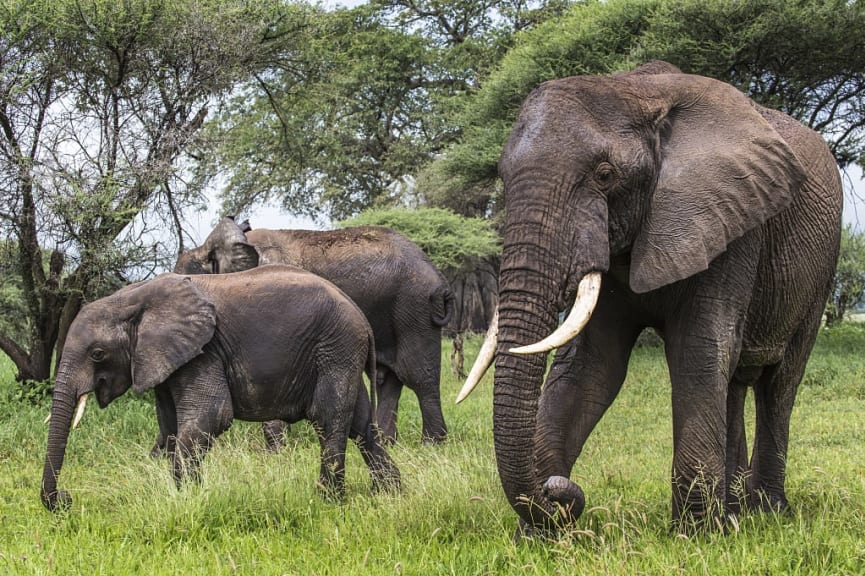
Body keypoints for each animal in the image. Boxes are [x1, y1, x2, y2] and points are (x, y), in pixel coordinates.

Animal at [42, 264, 400, 510]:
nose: (66, 499)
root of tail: (361, 318)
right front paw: (189, 496)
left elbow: (211, 416)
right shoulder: (165, 359)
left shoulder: (204, 351)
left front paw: (186, 499)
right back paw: (389, 493)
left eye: (97, 354)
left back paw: (328, 501)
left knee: (329, 418)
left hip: (335, 348)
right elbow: (170, 428)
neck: (132, 297)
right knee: (360, 424)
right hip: (342, 353)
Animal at [178, 218, 456, 444]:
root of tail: (441, 282)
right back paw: (388, 442)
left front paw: (277, 453)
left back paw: (432, 444)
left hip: (414, 308)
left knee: (418, 375)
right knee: (388, 377)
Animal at [462, 60, 840, 532]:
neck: (639, 91)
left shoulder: (730, 221)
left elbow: (698, 349)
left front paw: (695, 535)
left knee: (780, 383)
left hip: (819, 270)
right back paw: (735, 512)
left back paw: (768, 512)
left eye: (605, 175)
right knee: (734, 381)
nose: (559, 491)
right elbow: (592, 364)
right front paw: (541, 536)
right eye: (503, 177)